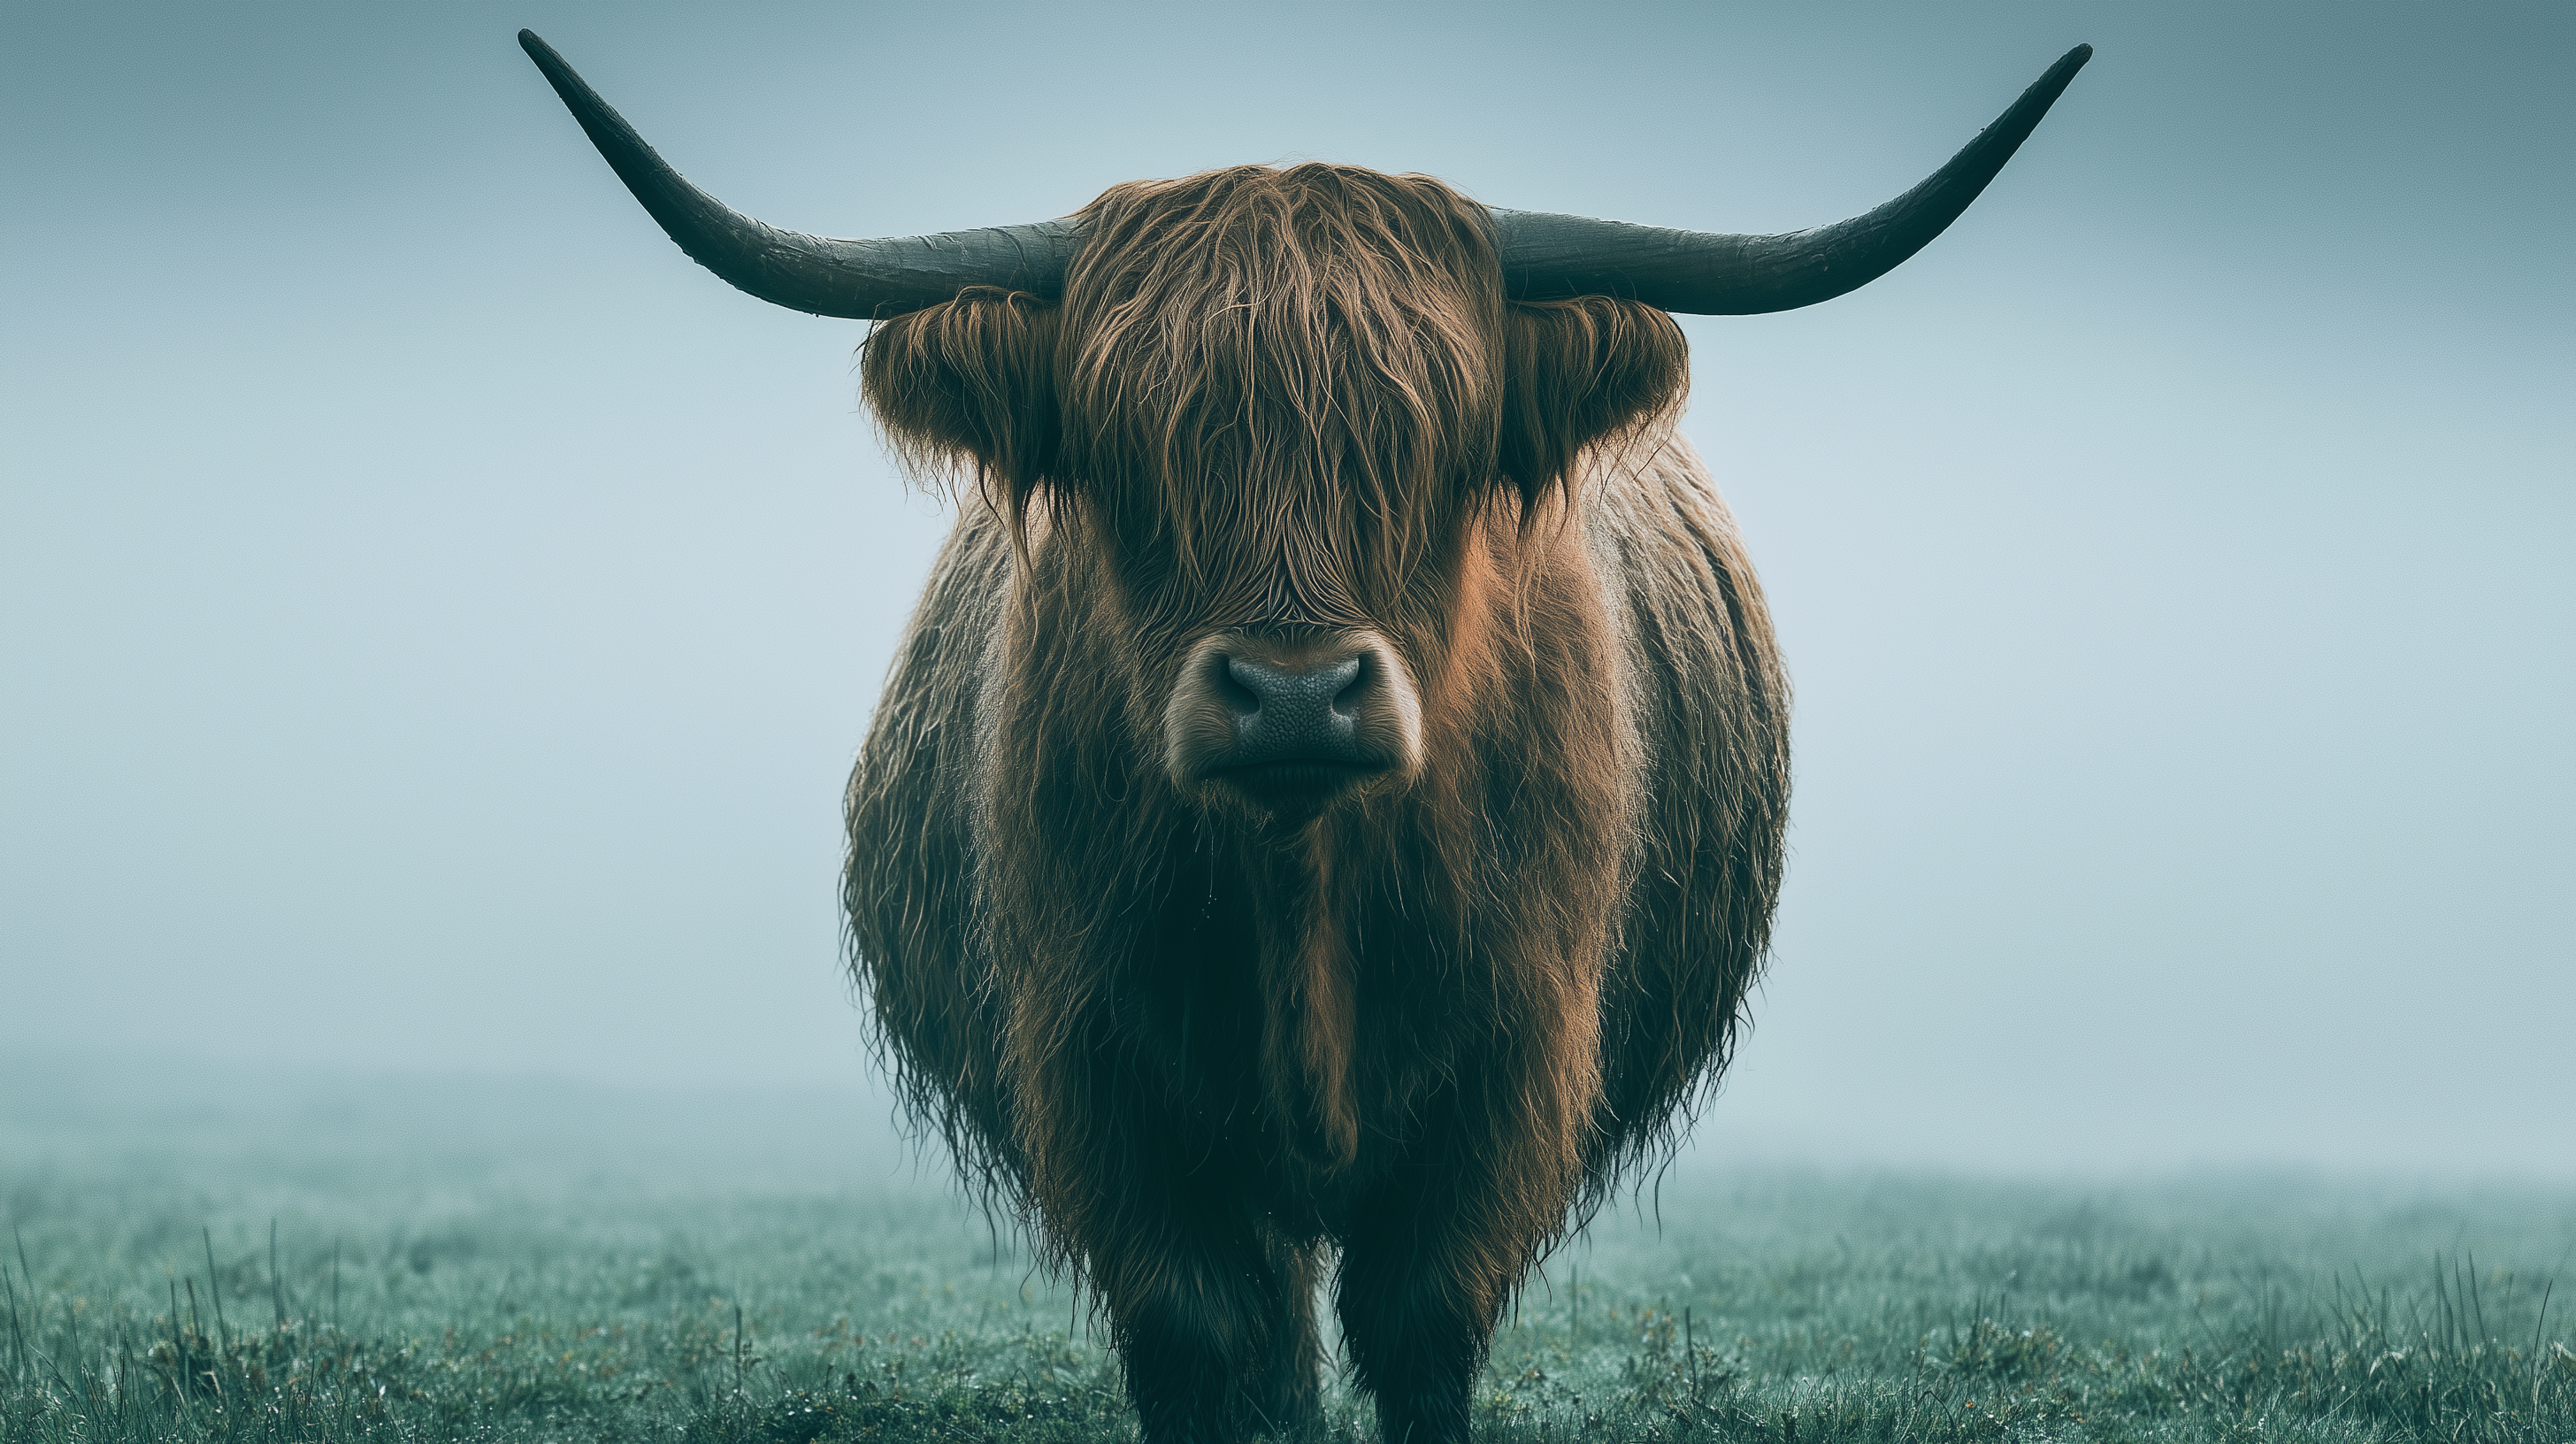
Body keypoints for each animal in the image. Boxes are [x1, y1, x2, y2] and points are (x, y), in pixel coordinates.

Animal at [520, 32, 2088, 1444]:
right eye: (1127, 452)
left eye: (1438, 448)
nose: (1289, 695)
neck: (1303, 899)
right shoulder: (1106, 1080)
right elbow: (1201, 1335)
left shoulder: (1506, 1074)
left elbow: (1419, 1327)